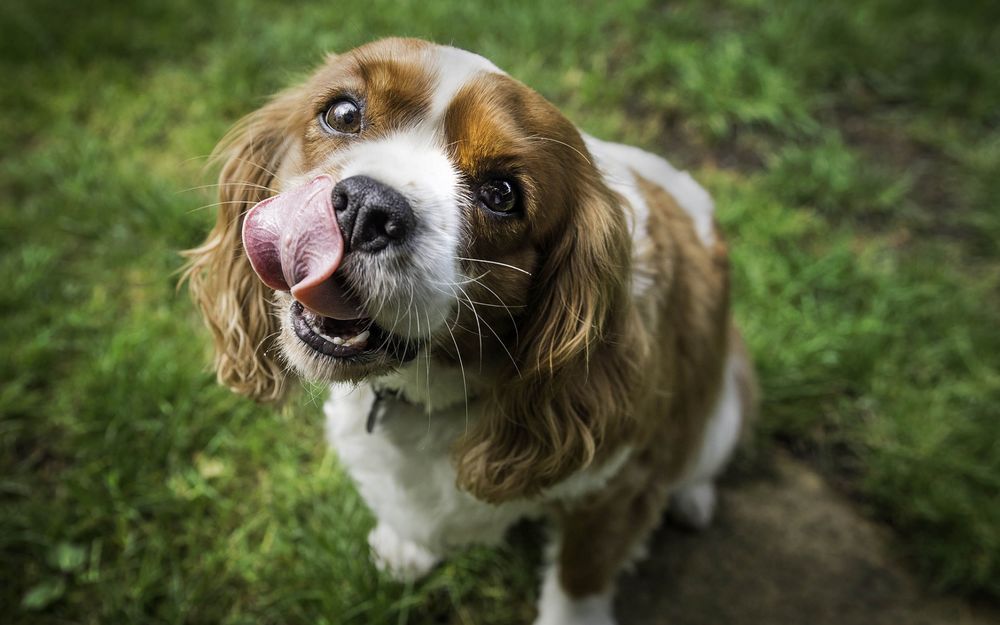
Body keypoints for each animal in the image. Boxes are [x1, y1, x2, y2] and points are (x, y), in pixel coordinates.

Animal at [184, 37, 752, 624]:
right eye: (342, 113)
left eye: (501, 194)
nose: (367, 206)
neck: (429, 388)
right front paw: (408, 546)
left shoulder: (620, 483)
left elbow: (581, 575)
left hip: (722, 408)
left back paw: (692, 497)